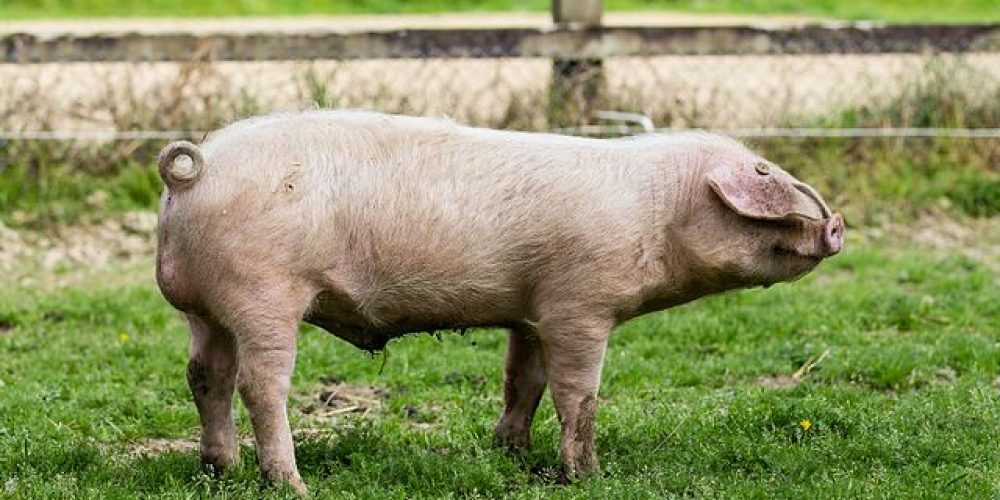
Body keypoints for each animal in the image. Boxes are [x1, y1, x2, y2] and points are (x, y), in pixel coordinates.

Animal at [155, 110, 844, 493]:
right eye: (764, 174)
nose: (836, 225)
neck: (660, 209)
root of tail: (195, 169)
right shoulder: (580, 304)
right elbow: (579, 394)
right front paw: (585, 476)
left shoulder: (532, 311)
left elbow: (523, 382)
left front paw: (508, 452)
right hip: (263, 291)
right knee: (260, 384)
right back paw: (292, 485)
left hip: (202, 309)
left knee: (205, 376)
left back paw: (222, 471)